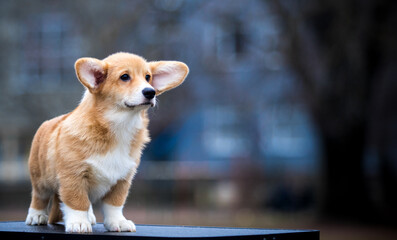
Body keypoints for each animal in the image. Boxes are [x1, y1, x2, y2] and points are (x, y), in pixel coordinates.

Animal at [24, 52, 189, 232]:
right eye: (125, 77)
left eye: (148, 77)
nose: (150, 92)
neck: (120, 125)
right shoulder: (73, 176)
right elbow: (77, 201)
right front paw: (78, 222)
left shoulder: (122, 179)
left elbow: (114, 205)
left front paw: (117, 222)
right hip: (40, 179)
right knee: (39, 197)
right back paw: (36, 216)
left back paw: (90, 216)